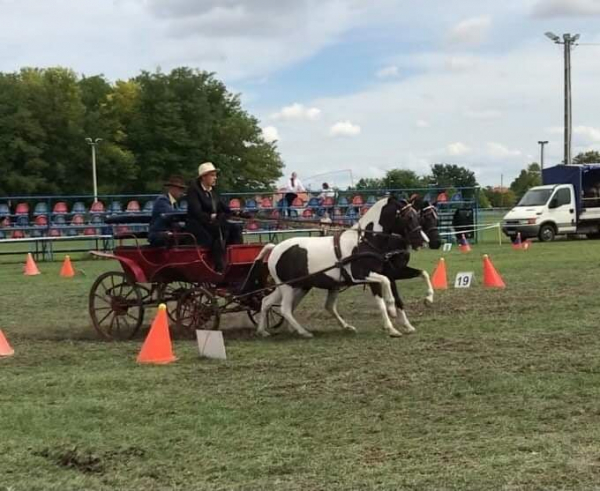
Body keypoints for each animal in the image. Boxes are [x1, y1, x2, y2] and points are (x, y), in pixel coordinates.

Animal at [258, 196, 426, 338]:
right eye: (408, 217)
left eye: (417, 216)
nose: (422, 241)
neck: (364, 242)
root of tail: (275, 248)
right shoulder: (362, 275)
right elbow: (383, 295)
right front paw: (391, 323)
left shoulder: (384, 274)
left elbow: (394, 294)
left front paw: (405, 324)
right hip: (288, 286)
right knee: (285, 309)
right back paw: (303, 332)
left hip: (295, 286)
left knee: (267, 302)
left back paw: (265, 331)